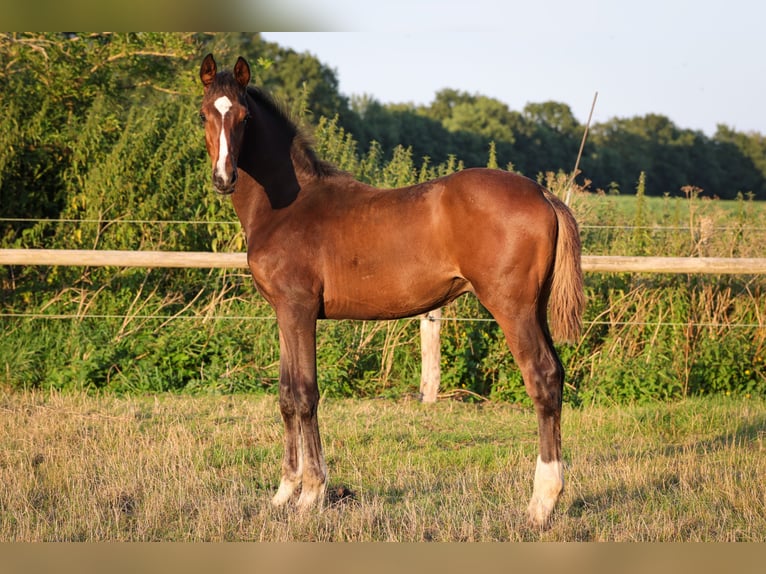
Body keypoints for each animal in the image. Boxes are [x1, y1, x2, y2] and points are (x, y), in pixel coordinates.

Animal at [200, 55, 588, 532]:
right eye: (204, 113)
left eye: (244, 117)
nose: (224, 178)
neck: (288, 205)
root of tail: (544, 193)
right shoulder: (283, 313)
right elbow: (287, 396)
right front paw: (282, 494)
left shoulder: (299, 309)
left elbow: (306, 395)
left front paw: (311, 495)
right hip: (534, 308)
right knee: (557, 373)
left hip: (512, 308)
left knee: (542, 378)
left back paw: (540, 505)